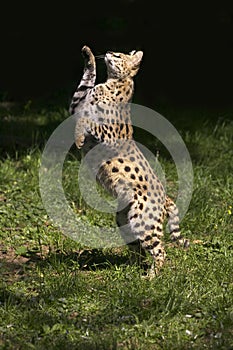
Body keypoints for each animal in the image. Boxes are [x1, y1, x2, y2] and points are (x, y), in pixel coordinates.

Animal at [69, 45, 189, 274]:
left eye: (117, 55)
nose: (108, 52)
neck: (114, 84)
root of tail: (167, 198)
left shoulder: (108, 136)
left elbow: (88, 120)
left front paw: (79, 138)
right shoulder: (76, 105)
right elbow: (85, 82)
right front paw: (88, 54)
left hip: (142, 222)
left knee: (160, 251)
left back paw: (152, 276)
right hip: (123, 220)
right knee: (138, 250)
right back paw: (130, 271)